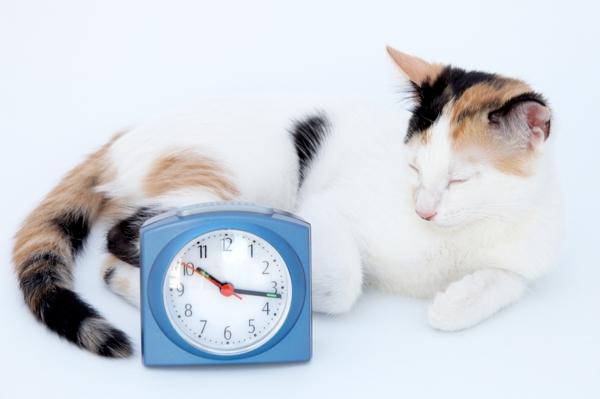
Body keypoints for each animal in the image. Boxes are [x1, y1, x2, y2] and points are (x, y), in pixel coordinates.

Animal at [11, 47, 564, 360]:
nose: (423, 210)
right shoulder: (324, 211)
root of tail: (120, 139)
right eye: (412, 168)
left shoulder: (528, 252)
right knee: (123, 237)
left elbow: (506, 283)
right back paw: (132, 278)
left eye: (460, 179)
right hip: (234, 178)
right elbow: (343, 283)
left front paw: (455, 302)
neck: (460, 232)